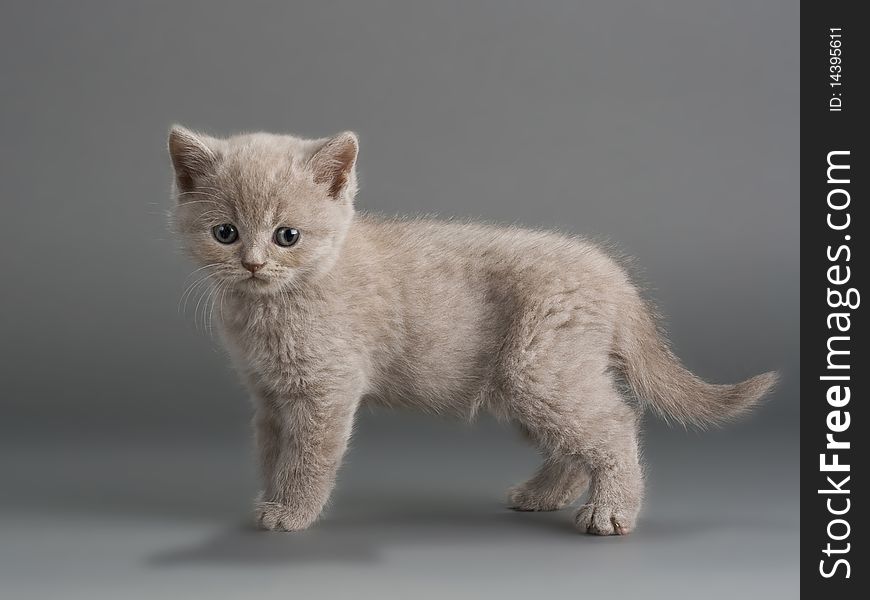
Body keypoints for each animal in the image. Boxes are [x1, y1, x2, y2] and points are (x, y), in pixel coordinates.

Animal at [169, 125, 776, 536]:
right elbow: (271, 450)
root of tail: (610, 273)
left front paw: (291, 511)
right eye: (225, 233)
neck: (267, 309)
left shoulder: (325, 389)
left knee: (614, 424)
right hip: (529, 381)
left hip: (538, 370)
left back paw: (610, 512)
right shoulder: (268, 395)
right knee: (575, 442)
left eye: (287, 236)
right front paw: (270, 498)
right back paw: (541, 494)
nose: (252, 263)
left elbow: (307, 457)